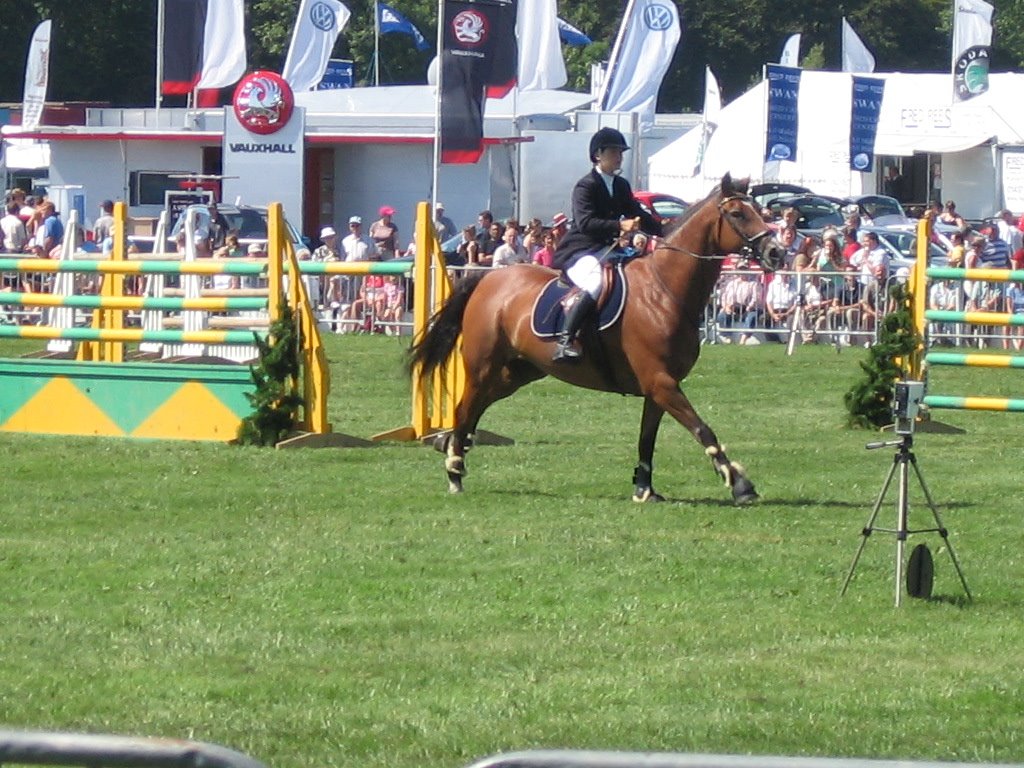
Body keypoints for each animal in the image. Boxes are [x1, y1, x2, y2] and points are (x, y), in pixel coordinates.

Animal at [407, 174, 782, 501]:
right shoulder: (661, 383)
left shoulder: (658, 386)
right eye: (737, 214)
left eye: (758, 210)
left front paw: (644, 489)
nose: (776, 253)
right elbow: (703, 429)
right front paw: (740, 484)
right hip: (483, 366)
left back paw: (454, 453)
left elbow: (647, 439)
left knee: (477, 407)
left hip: (516, 373)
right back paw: (454, 469)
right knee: (464, 407)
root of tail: (487, 280)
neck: (664, 289)